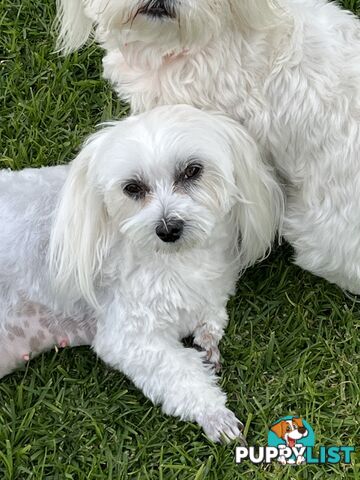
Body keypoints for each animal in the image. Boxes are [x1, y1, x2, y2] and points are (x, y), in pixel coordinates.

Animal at [0, 105, 282, 442]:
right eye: (132, 188)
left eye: (192, 170)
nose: (168, 229)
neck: (179, 258)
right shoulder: (129, 336)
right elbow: (180, 374)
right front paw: (215, 415)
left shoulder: (212, 287)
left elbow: (212, 313)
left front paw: (207, 338)